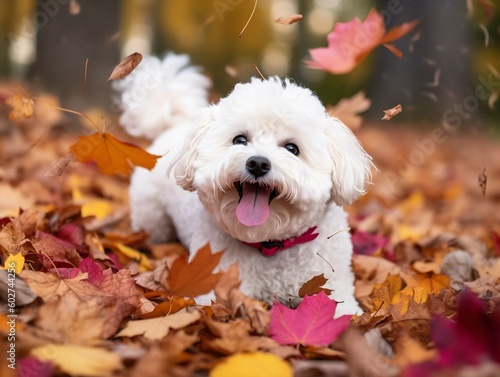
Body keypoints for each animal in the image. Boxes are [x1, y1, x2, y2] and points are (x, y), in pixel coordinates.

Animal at [114, 54, 372, 316]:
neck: (271, 245)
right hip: (152, 218)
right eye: (240, 139)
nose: (258, 163)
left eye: (292, 148)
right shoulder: (215, 282)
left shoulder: (334, 286)